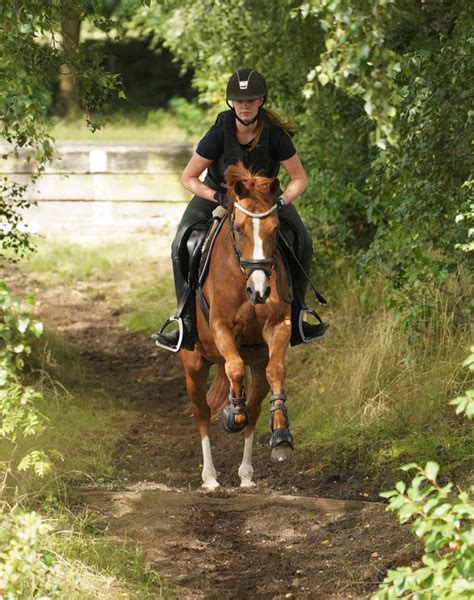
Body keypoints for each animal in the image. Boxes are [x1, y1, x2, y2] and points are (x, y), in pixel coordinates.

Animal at [181, 163, 292, 488]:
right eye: (240, 228)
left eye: (275, 229)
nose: (260, 291)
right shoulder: (221, 326)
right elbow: (234, 368)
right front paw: (233, 413)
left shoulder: (279, 325)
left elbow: (275, 370)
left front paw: (281, 434)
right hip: (194, 364)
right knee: (202, 412)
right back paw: (209, 477)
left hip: (257, 362)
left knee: (254, 408)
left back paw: (246, 473)